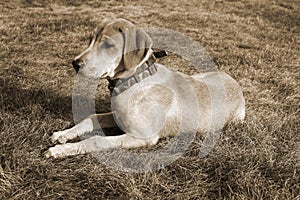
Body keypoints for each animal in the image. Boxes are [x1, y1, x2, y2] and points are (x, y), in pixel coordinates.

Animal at [45, 19, 245, 159]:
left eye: (108, 44)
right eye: (89, 40)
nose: (75, 63)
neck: (133, 81)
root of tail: (235, 83)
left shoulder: (142, 137)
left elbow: (96, 140)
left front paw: (61, 150)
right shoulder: (116, 116)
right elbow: (91, 117)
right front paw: (63, 135)